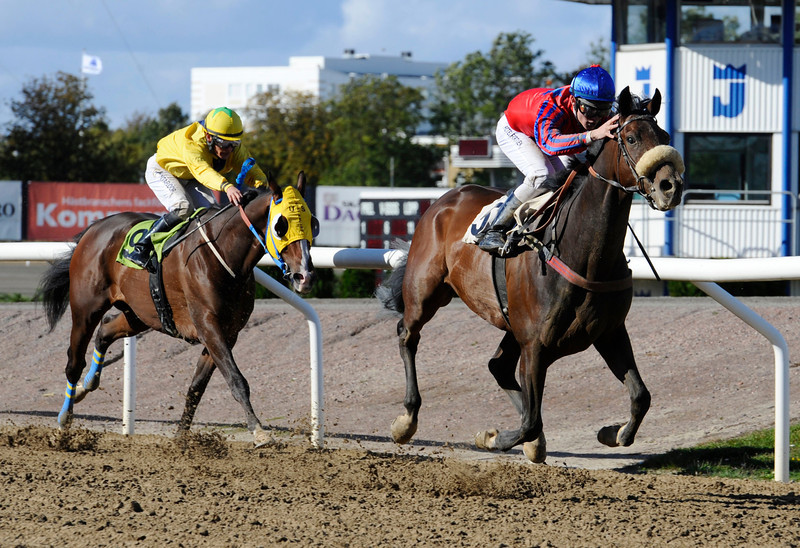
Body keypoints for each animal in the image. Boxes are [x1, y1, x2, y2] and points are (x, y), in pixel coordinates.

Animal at [39, 173, 316, 448]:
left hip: (140, 313)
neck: (224, 252)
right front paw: (259, 431)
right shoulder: (208, 324)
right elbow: (236, 379)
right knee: (74, 362)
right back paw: (64, 421)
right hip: (86, 308)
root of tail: (94, 228)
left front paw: (181, 436)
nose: (305, 276)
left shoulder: (228, 332)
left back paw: (86, 386)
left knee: (105, 330)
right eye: (281, 226)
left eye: (313, 222)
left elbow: (197, 386)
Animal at [378, 86, 684, 462]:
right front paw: (492, 437)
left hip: (510, 323)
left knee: (498, 367)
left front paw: (613, 432)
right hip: (426, 292)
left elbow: (641, 397)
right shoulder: (535, 344)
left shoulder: (608, 332)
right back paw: (406, 420)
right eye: (630, 137)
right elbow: (530, 423)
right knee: (407, 334)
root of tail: (443, 200)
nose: (671, 186)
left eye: (664, 136)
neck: (581, 250)